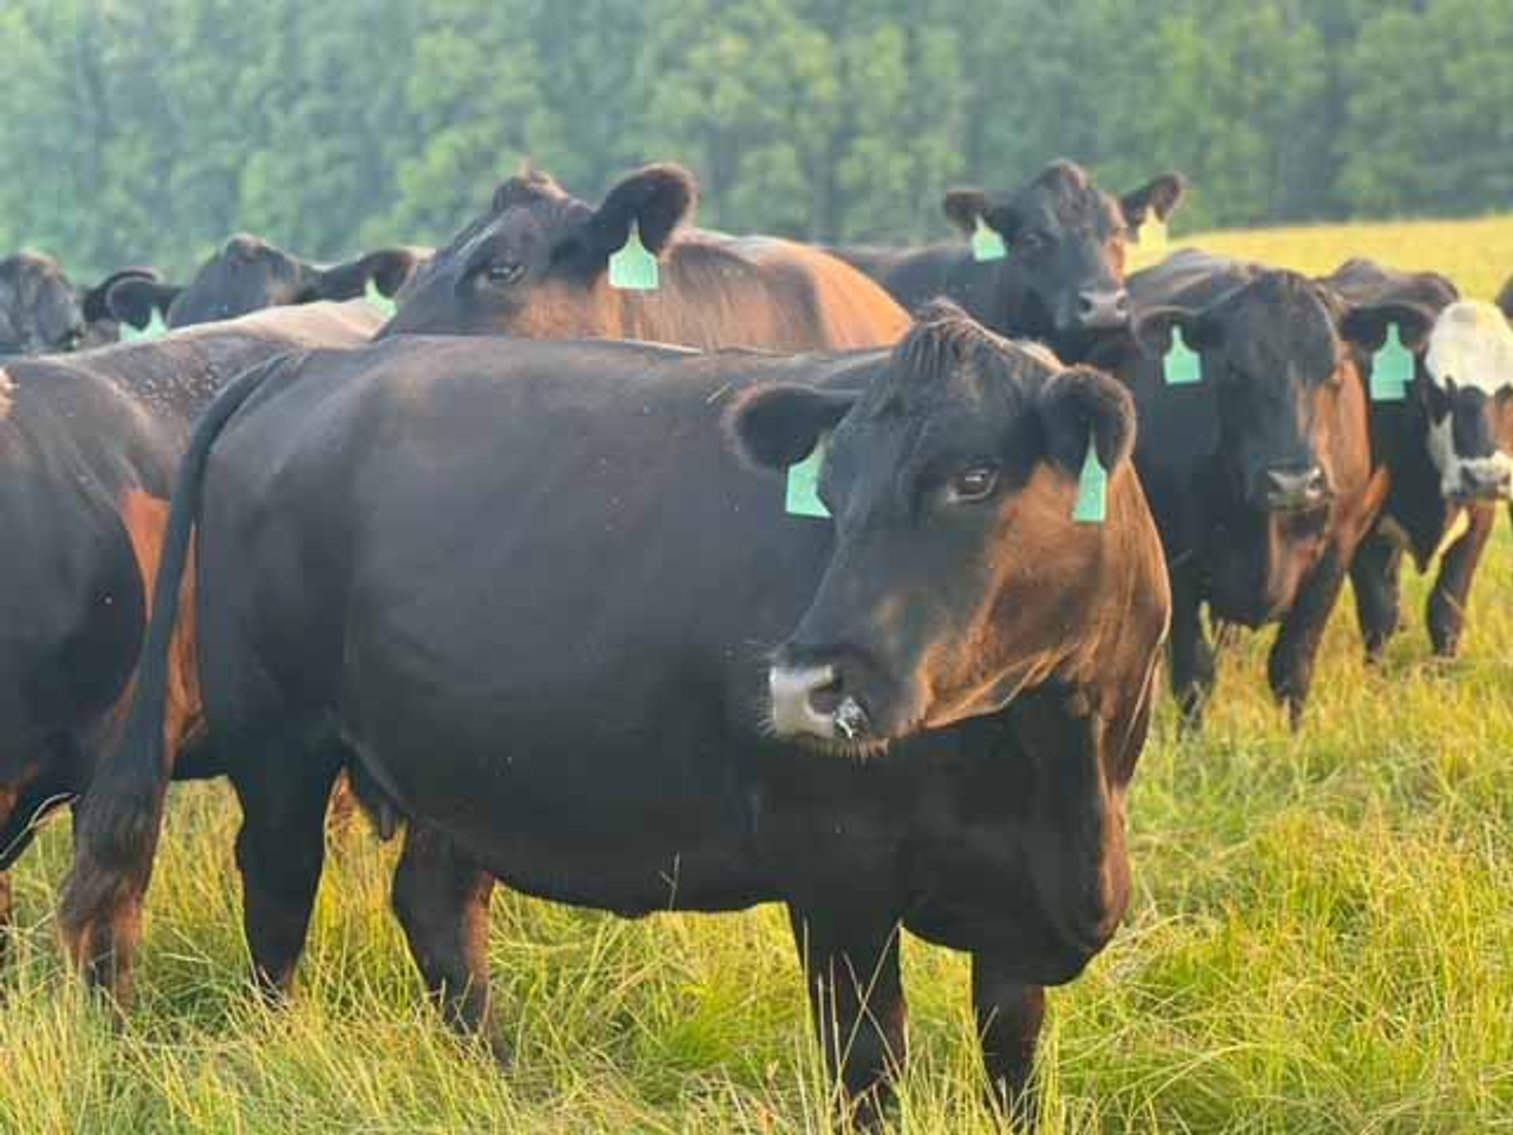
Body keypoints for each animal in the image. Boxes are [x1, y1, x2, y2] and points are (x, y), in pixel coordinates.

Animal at [64, 307, 1169, 1126]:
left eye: (973, 476)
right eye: (829, 489)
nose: (804, 682)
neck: (1057, 776)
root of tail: (303, 366)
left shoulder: (1017, 908)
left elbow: (1013, 1061)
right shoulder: (835, 865)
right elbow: (870, 1065)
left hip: (464, 755)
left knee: (437, 906)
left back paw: (502, 1083)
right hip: (284, 737)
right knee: (280, 892)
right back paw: (277, 1039)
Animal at [1110, 250, 1430, 728]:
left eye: (1334, 369)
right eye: (1233, 371)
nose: (1293, 482)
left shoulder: (1334, 552)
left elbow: (1292, 664)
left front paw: (1295, 737)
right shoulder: (1176, 558)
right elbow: (1193, 672)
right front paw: (1192, 740)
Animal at [1318, 261, 1512, 660]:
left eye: (1509, 389)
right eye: (1435, 388)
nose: (1485, 477)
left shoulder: (1479, 519)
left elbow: (1446, 608)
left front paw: (1445, 666)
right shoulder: (1364, 524)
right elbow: (1378, 612)